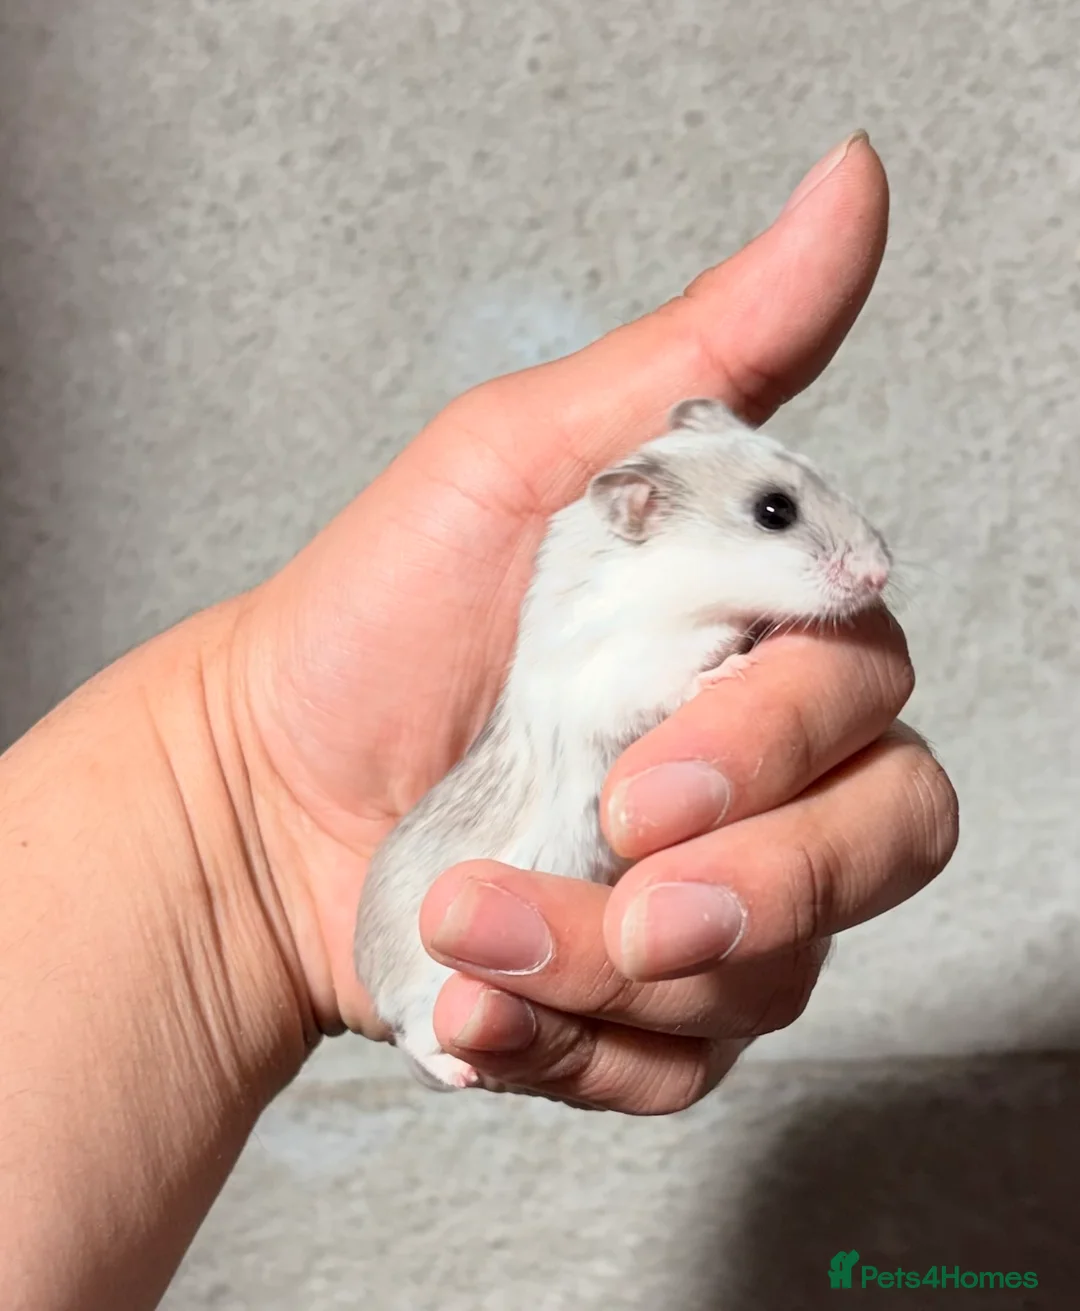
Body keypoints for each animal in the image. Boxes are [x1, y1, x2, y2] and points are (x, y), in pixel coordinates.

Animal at [354, 399, 892, 1090]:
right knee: (418, 1040)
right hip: (427, 993)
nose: (881, 573)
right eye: (774, 510)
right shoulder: (621, 677)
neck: (666, 584)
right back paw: (463, 1072)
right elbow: (679, 677)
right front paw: (733, 667)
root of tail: (371, 990)